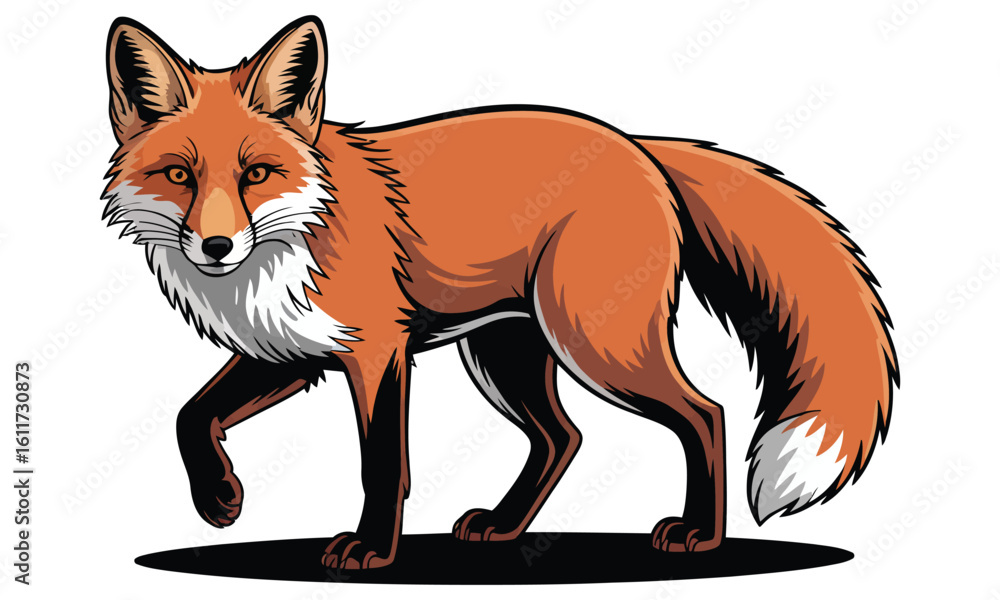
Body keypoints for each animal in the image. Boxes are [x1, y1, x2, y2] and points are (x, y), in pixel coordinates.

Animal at [102, 16, 897, 569]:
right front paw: (219, 500)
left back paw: (700, 533)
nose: (216, 247)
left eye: (256, 174)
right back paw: (505, 526)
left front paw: (371, 551)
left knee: (705, 413)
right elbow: (191, 416)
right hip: (505, 355)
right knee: (563, 437)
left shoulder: (376, 352)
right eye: (180, 175)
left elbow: (382, 464)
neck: (298, 232)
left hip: (596, 346)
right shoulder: (292, 349)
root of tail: (637, 145)